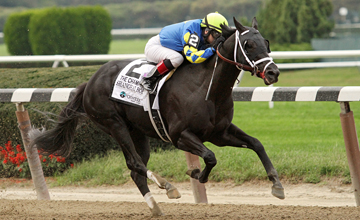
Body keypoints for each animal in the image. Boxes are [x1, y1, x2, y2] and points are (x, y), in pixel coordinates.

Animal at [30, 17, 284, 215]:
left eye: (266, 42)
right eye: (248, 44)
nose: (273, 72)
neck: (208, 88)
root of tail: (90, 82)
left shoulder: (219, 133)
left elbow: (256, 144)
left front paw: (277, 185)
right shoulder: (180, 135)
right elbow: (210, 157)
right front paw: (196, 174)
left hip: (138, 132)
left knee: (136, 170)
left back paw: (155, 208)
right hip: (113, 124)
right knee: (135, 163)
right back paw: (167, 185)